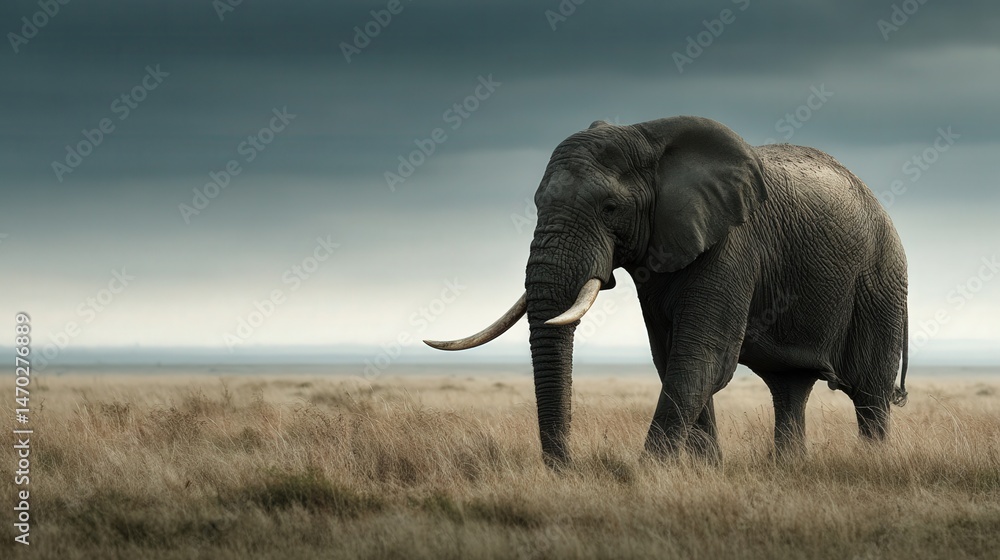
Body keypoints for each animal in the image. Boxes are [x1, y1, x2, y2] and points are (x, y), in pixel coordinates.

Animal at [425, 116, 908, 467]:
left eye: (610, 208)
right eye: (538, 205)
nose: (567, 466)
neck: (647, 136)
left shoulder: (731, 245)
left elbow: (702, 358)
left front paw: (647, 474)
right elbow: (671, 356)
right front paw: (704, 471)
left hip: (882, 282)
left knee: (870, 394)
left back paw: (871, 464)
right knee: (790, 389)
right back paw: (788, 468)